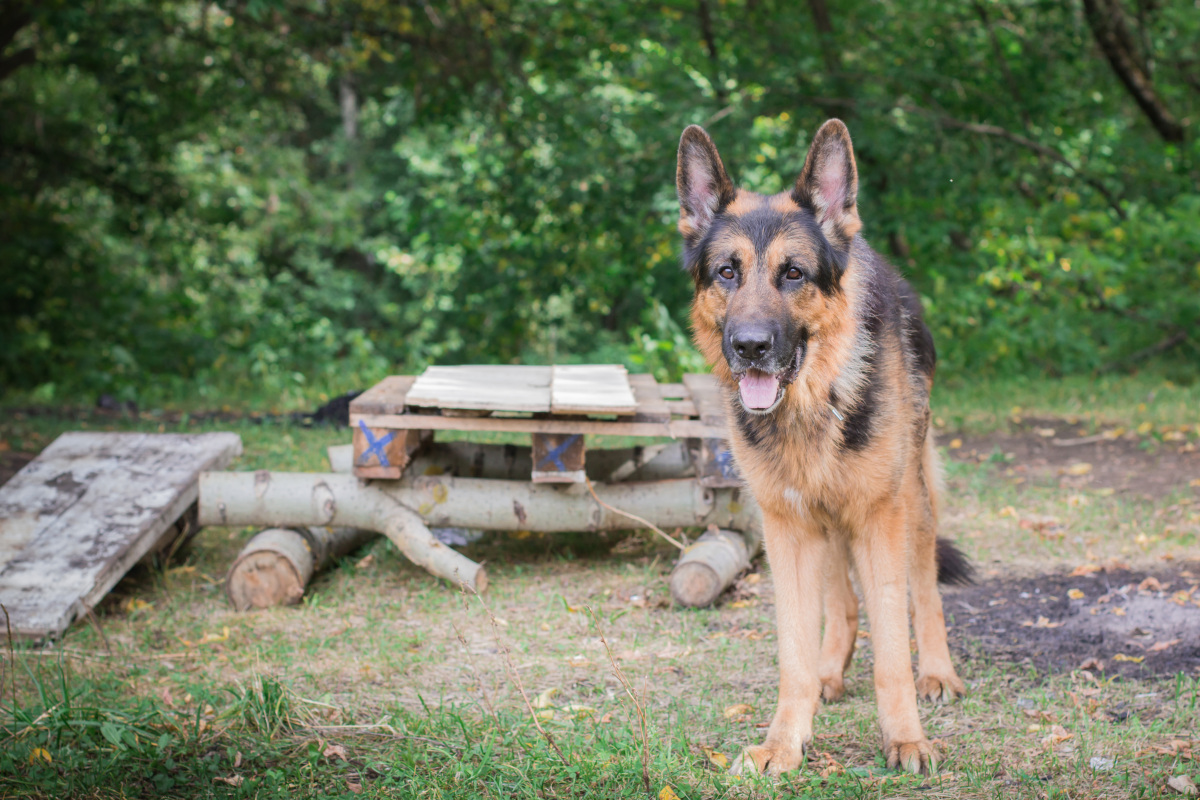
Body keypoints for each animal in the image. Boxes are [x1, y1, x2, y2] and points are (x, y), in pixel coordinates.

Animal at [672, 118, 969, 777]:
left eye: (793, 274)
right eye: (726, 272)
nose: (750, 346)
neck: (814, 401)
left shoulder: (880, 519)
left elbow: (893, 649)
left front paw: (905, 738)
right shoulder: (788, 529)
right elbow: (795, 652)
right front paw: (786, 740)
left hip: (911, 503)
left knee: (924, 590)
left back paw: (938, 673)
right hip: (824, 518)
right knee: (841, 602)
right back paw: (833, 670)